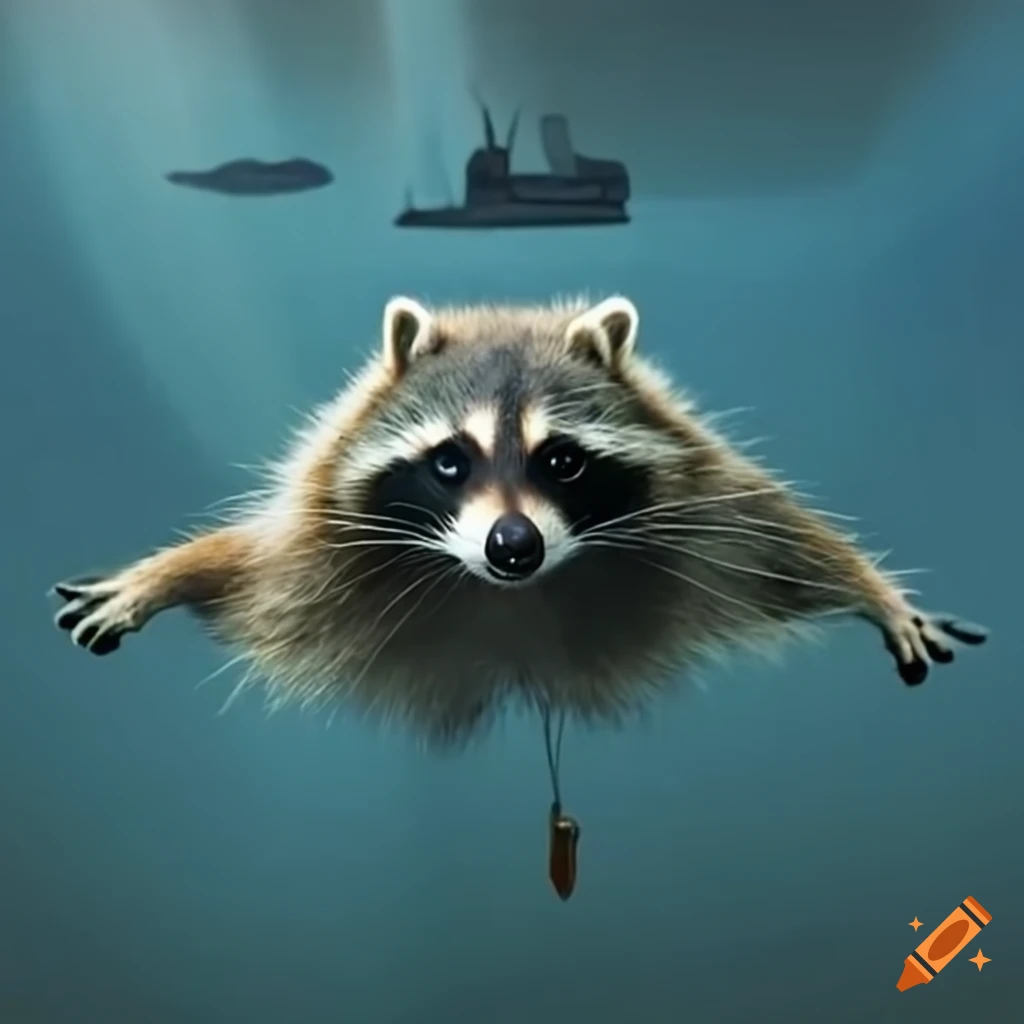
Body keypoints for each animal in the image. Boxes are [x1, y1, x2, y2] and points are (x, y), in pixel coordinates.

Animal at [51, 295, 988, 744]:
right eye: (450, 461)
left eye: (560, 461)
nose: (513, 547)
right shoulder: (325, 546)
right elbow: (255, 566)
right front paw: (166, 572)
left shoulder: (700, 511)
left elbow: (777, 543)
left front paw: (872, 589)